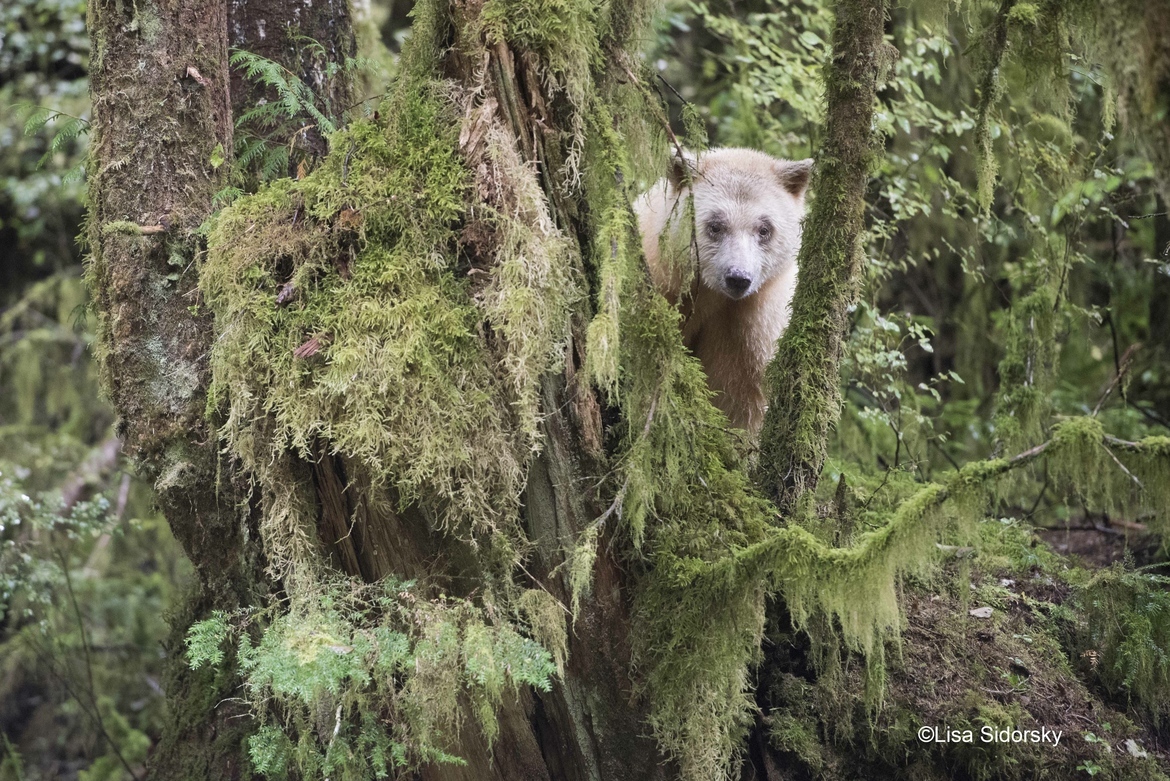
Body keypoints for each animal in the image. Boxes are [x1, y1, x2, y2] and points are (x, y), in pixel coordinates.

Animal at [634, 147, 813, 433]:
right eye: (715, 225)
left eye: (764, 229)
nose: (738, 278)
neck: (710, 294)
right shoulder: (663, 282)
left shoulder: (748, 326)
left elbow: (736, 398)